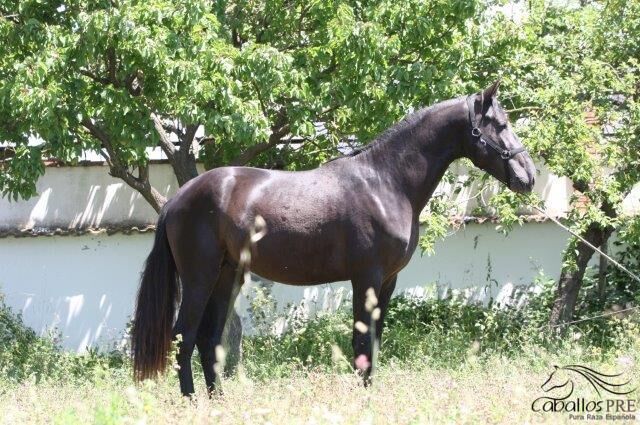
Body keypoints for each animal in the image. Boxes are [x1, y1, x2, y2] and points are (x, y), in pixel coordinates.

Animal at [130, 81, 536, 396]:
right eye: (500, 124)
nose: (528, 176)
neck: (385, 182)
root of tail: (179, 199)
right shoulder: (367, 278)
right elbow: (361, 341)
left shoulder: (387, 282)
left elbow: (374, 341)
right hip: (200, 277)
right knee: (184, 337)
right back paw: (192, 401)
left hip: (227, 276)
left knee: (208, 339)